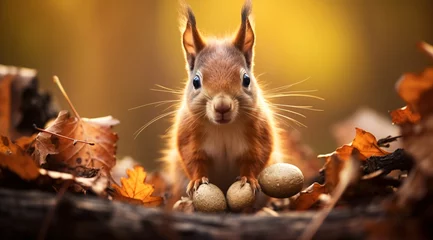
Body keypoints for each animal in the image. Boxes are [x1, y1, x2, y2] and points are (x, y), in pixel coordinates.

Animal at [162, 0, 290, 201]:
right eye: (196, 81)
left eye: (246, 79)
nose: (222, 106)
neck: (223, 128)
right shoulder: (188, 135)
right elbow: (192, 159)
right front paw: (197, 180)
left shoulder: (259, 132)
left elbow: (256, 157)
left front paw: (248, 178)